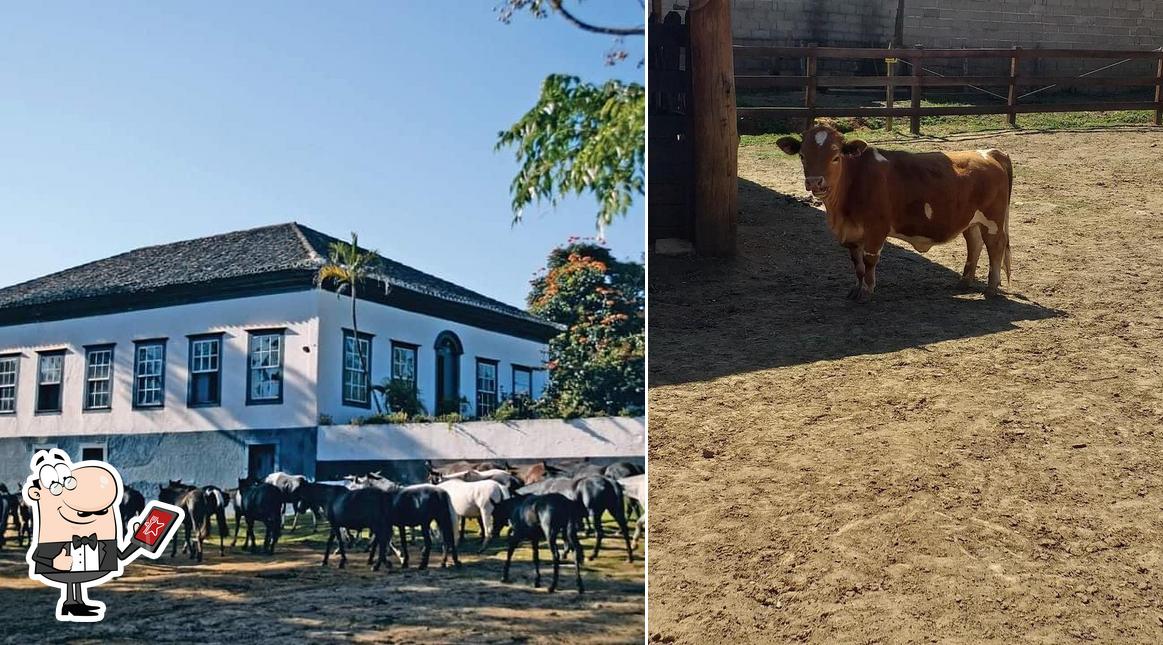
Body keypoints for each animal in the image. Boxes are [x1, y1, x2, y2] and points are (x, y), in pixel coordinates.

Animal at [781, 123, 1009, 299]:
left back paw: (991, 288)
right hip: (971, 220)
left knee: (995, 247)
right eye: (802, 156)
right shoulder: (852, 235)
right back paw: (964, 281)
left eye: (836, 156)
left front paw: (867, 291)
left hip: (993, 220)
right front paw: (856, 289)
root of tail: (988, 153)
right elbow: (857, 264)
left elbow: (869, 260)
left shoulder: (876, 229)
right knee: (975, 244)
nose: (815, 182)